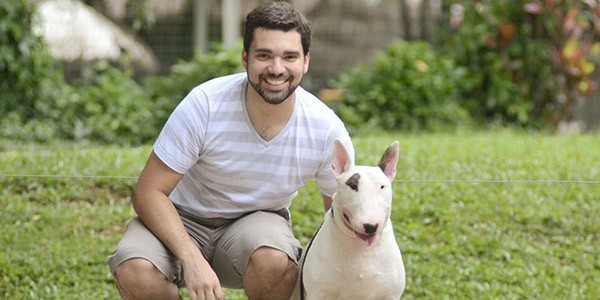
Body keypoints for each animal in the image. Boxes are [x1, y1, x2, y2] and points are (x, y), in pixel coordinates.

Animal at [292, 141, 406, 300]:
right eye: (352, 185)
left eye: (382, 186)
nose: (370, 227)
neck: (361, 249)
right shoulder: (318, 293)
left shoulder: (390, 295)